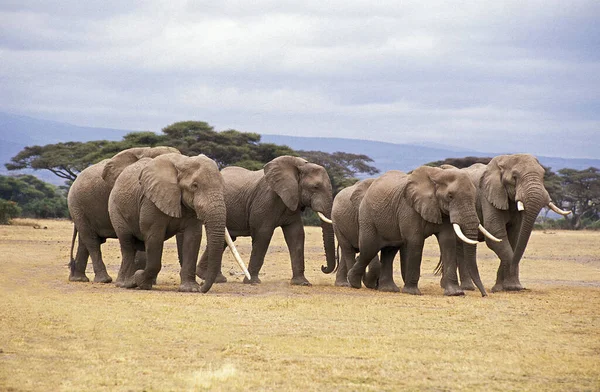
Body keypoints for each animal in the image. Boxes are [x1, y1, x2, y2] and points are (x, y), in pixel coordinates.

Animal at [106, 152, 231, 290]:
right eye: (194, 186)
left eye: (222, 186)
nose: (202, 286)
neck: (183, 163)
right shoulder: (150, 201)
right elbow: (154, 235)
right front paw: (140, 281)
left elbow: (192, 237)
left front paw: (190, 289)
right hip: (115, 209)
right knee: (127, 244)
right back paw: (126, 283)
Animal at [197, 155, 338, 286]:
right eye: (315, 187)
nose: (323, 267)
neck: (299, 166)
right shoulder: (266, 200)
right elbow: (263, 234)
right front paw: (253, 282)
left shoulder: (292, 201)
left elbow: (296, 235)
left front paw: (302, 283)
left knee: (227, 239)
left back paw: (213, 278)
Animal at [344, 166, 500, 298]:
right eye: (450, 196)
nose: (484, 295)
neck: (437, 175)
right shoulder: (408, 208)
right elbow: (415, 241)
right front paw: (412, 293)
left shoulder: (443, 211)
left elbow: (447, 241)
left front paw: (455, 293)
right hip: (367, 217)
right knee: (369, 248)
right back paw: (353, 282)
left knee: (390, 250)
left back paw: (388, 289)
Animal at [446, 153, 572, 290]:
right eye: (514, 177)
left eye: (543, 175)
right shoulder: (488, 195)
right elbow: (496, 233)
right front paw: (512, 287)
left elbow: (514, 236)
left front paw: (503, 288)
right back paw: (467, 288)